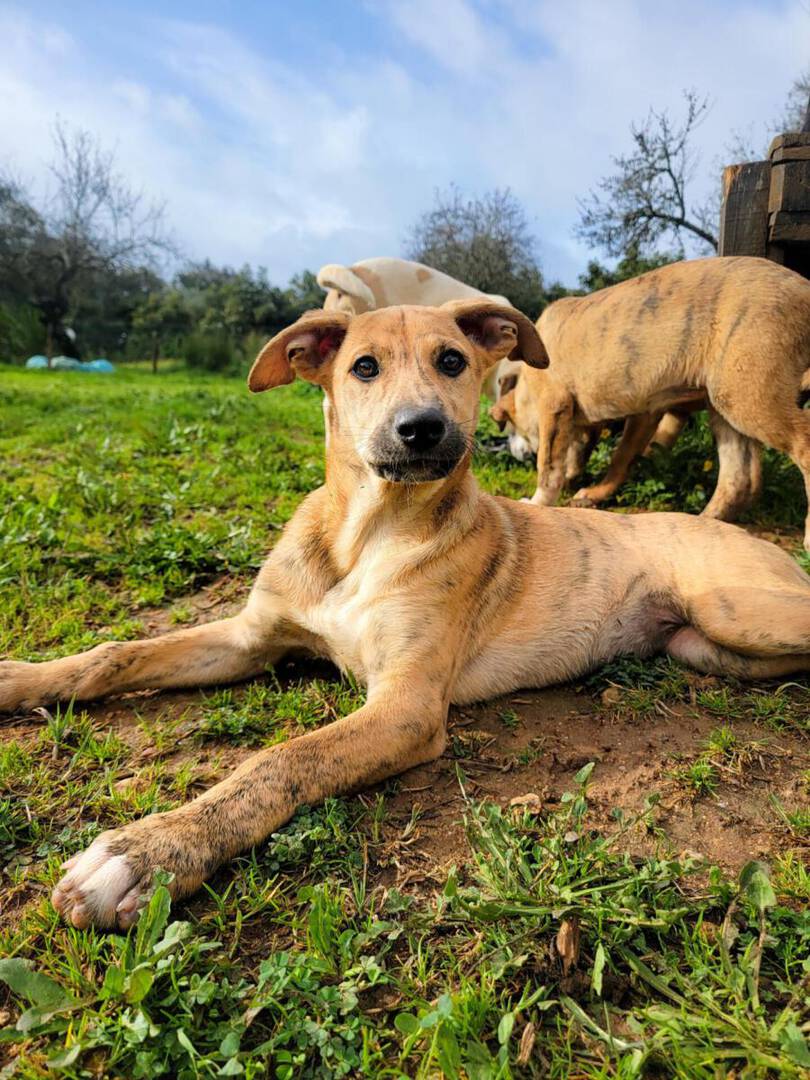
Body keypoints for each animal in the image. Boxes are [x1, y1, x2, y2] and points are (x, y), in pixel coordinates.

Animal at [3, 299, 810, 932]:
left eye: (452, 360)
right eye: (363, 367)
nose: (421, 428)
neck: (366, 536)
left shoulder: (406, 705)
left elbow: (280, 760)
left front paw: (149, 853)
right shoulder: (250, 636)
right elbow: (115, 653)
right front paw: (20, 679)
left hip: (729, 606)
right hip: (702, 645)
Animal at [516, 256, 810, 546]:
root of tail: (804, 286)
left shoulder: (556, 405)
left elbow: (551, 464)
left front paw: (538, 501)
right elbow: (579, 453)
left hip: (749, 394)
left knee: (802, 445)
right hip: (724, 404)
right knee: (739, 477)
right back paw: (704, 523)